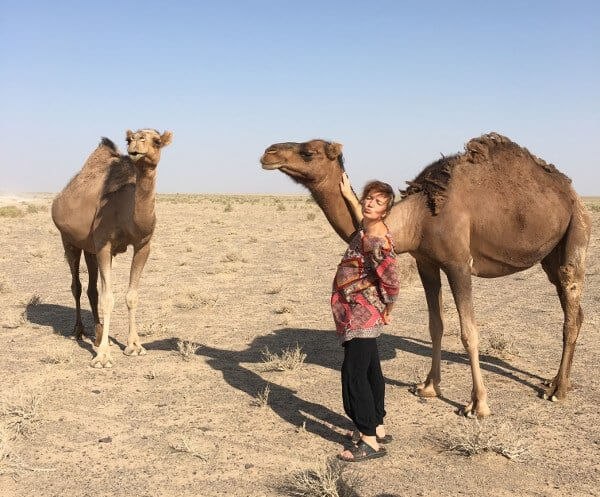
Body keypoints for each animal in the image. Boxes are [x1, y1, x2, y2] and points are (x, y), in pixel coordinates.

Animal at [51, 129, 173, 368]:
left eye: (157, 141)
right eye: (129, 139)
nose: (136, 144)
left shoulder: (143, 245)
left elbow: (131, 295)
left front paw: (134, 346)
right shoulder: (104, 245)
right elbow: (108, 298)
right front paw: (103, 357)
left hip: (89, 247)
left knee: (91, 288)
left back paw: (99, 335)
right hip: (68, 240)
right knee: (76, 286)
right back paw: (79, 330)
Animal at [262, 134, 592, 416]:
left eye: (308, 151)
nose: (268, 152)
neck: (419, 218)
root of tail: (572, 193)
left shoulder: (459, 263)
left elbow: (468, 332)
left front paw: (478, 404)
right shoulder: (427, 263)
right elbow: (436, 325)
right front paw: (429, 387)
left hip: (576, 228)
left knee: (570, 307)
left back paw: (559, 390)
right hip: (550, 255)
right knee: (574, 309)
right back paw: (554, 381)